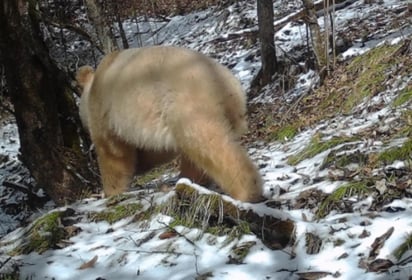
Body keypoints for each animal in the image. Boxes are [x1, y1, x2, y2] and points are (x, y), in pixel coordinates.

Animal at [77, 47, 262, 202]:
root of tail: (226, 83)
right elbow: (154, 151)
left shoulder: (104, 110)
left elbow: (113, 152)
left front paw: (110, 191)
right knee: (195, 153)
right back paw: (189, 181)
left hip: (187, 102)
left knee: (208, 143)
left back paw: (246, 191)